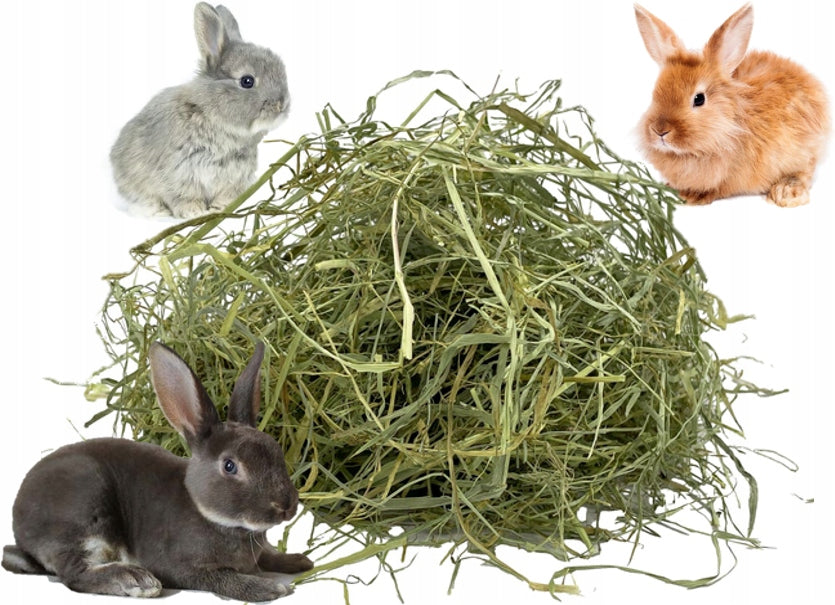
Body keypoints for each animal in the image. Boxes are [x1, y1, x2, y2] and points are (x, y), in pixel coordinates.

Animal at [2, 341, 313, 600]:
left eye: (276, 449)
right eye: (229, 466)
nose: (286, 506)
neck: (208, 513)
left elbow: (268, 557)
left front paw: (299, 561)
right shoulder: (182, 567)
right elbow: (223, 579)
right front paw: (270, 588)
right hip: (85, 508)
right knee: (74, 574)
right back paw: (136, 580)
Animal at [110, 3, 289, 219]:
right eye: (247, 81)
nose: (281, 105)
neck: (212, 115)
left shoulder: (234, 179)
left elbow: (226, 196)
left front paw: (221, 208)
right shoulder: (178, 174)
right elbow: (183, 196)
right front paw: (194, 212)